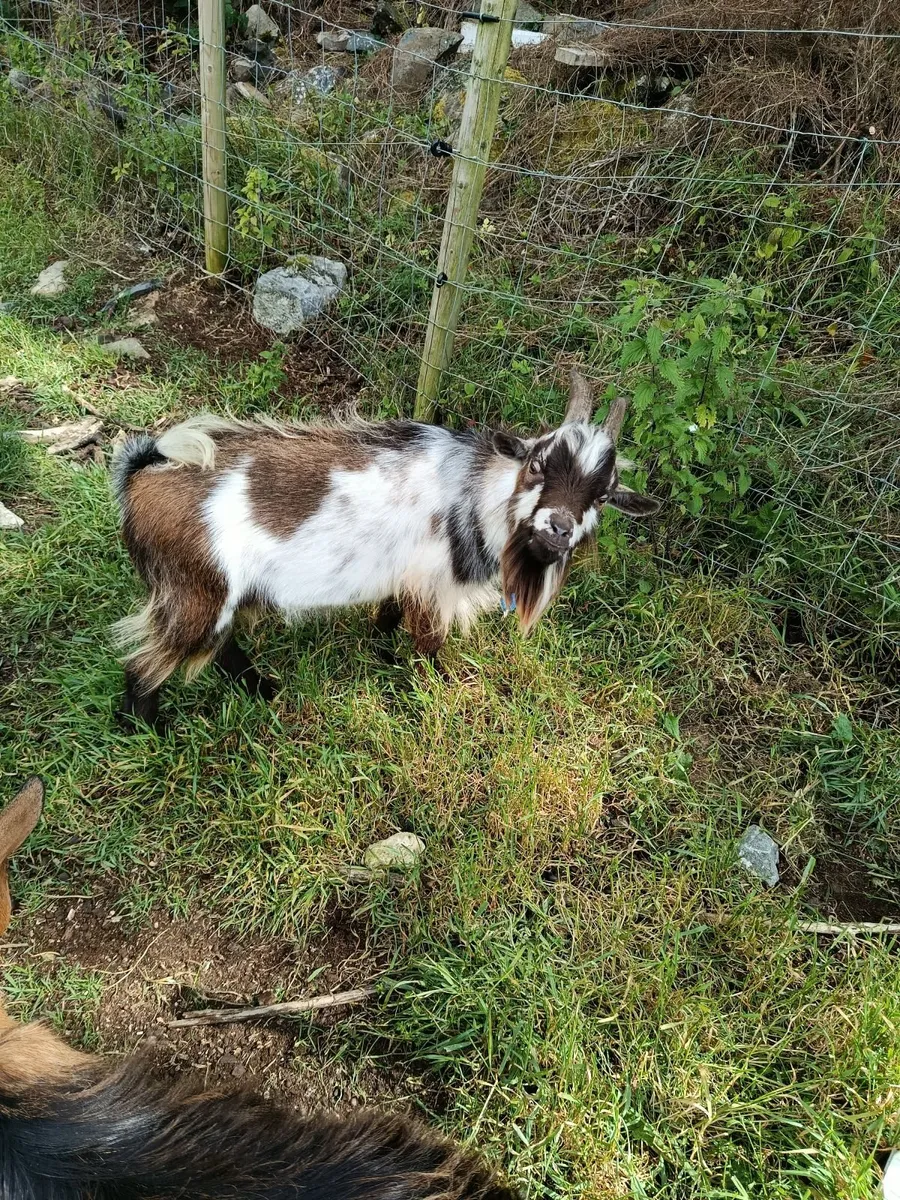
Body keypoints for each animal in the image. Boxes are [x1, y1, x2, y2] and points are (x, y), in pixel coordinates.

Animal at [111, 369, 659, 727]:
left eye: (604, 494)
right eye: (539, 463)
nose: (558, 527)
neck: (478, 496)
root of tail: (142, 476)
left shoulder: (406, 578)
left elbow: (388, 617)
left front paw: (383, 657)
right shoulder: (434, 587)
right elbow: (430, 646)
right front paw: (438, 690)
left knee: (222, 647)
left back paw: (262, 690)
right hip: (196, 591)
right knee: (145, 663)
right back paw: (150, 729)